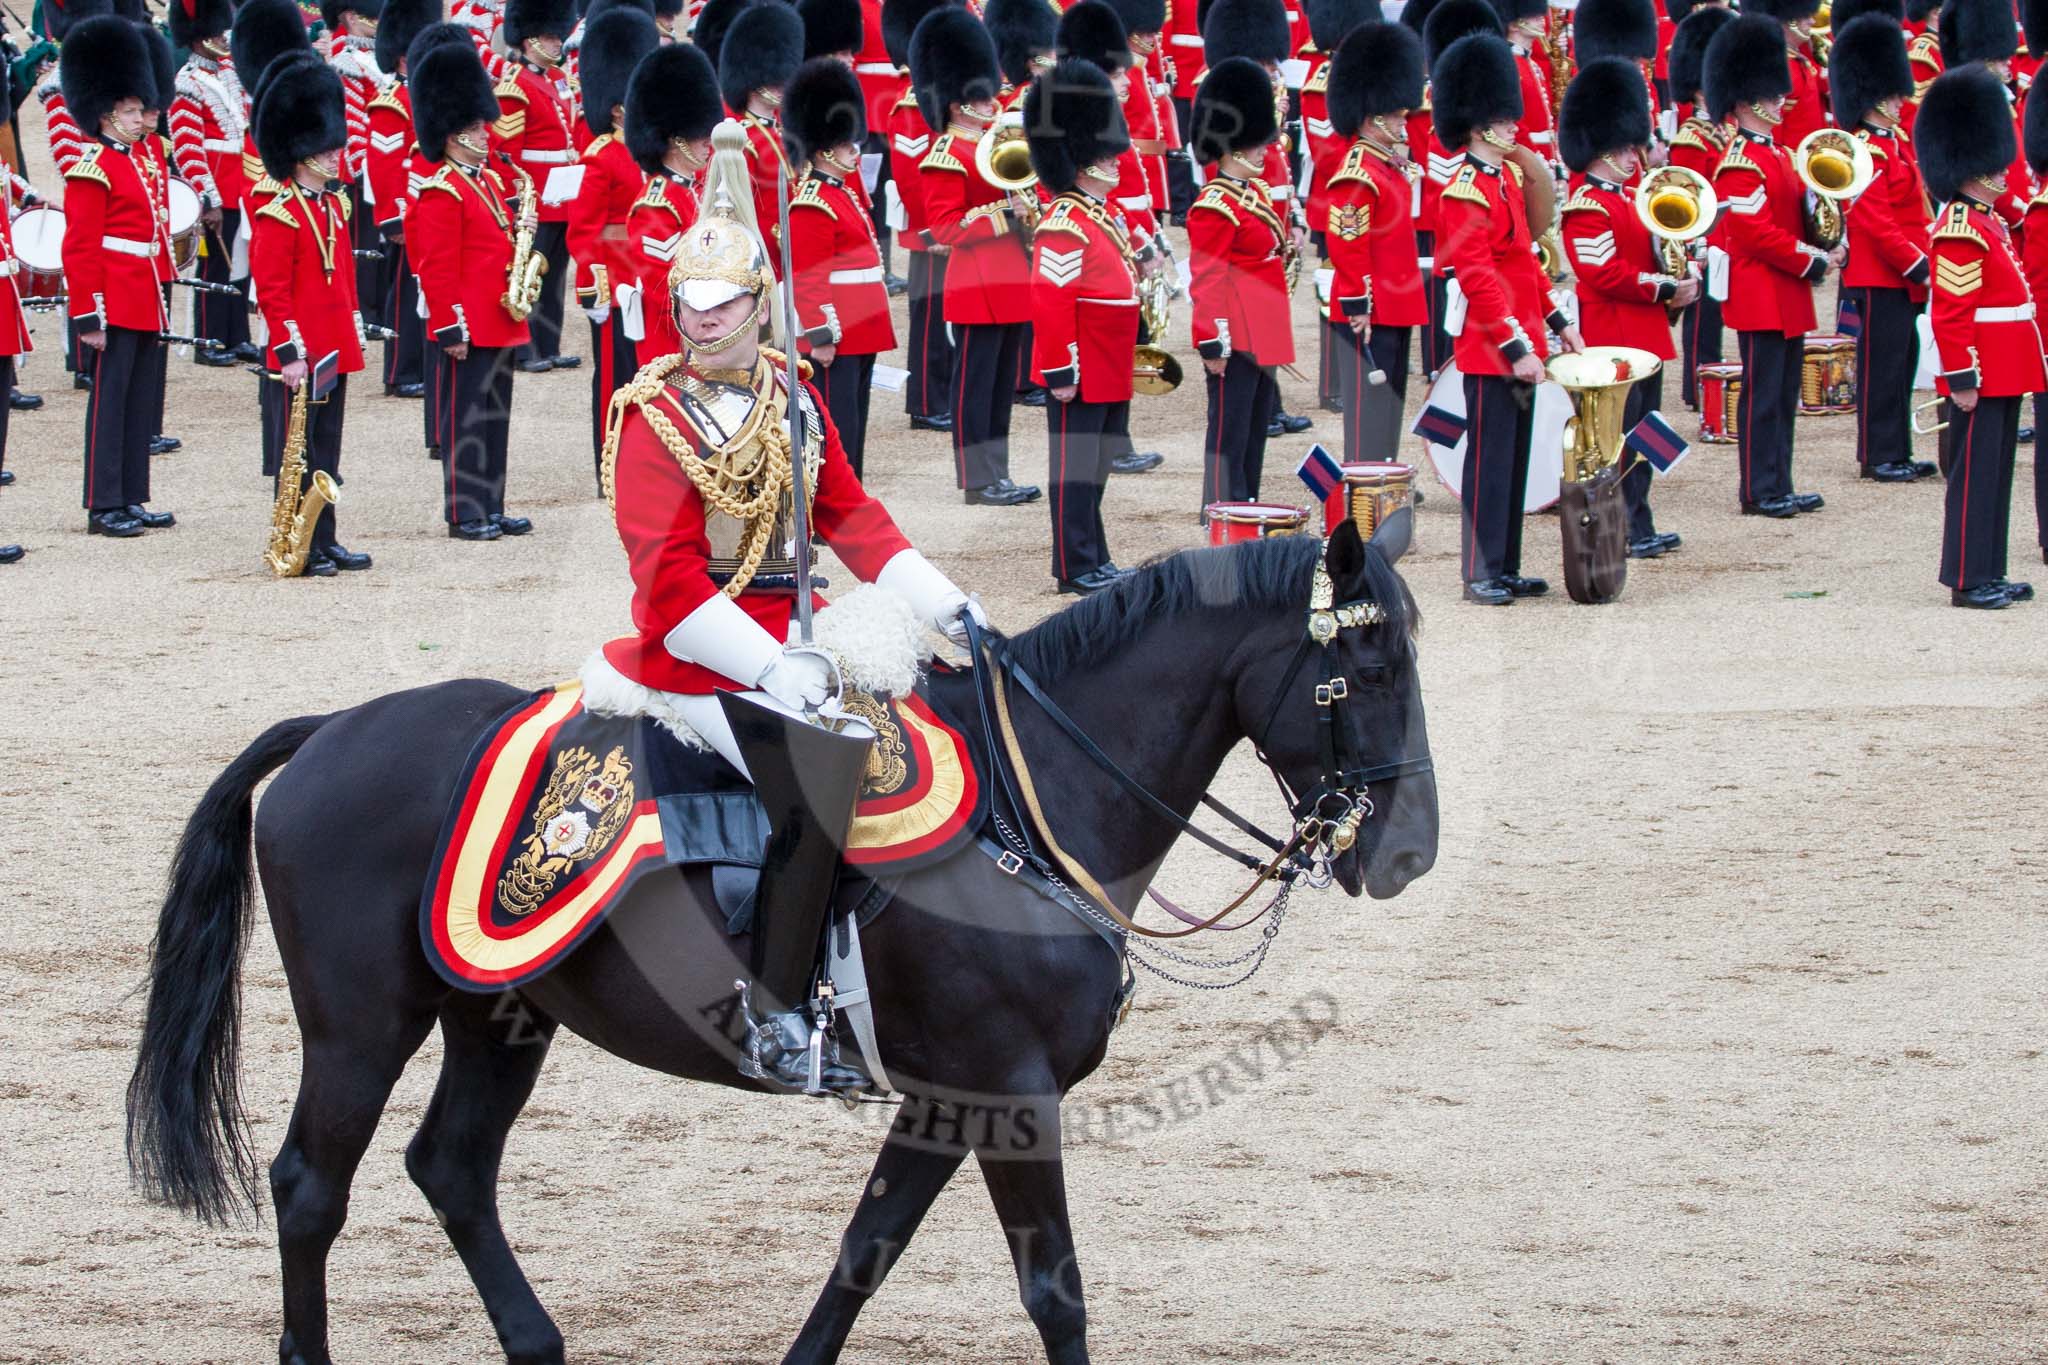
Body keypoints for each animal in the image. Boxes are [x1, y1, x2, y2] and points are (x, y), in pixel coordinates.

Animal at [125, 514, 1437, 1365]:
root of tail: (332, 729)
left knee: (449, 1168)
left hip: (498, 1016)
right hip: (363, 1026)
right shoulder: (1007, 1092)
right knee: (311, 1188)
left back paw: (537, 1344)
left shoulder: (947, 1098)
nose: (1406, 855)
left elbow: (862, 1255)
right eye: (1364, 665)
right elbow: (1053, 1291)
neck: (1035, 805)